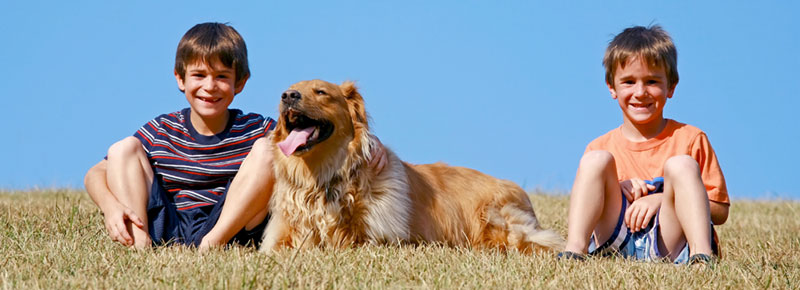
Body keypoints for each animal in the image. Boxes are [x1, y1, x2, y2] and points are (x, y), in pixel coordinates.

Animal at [260, 80, 564, 253]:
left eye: (321, 92)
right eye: (289, 90)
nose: (288, 95)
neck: (325, 177)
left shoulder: (375, 240)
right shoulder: (283, 238)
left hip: (501, 226)